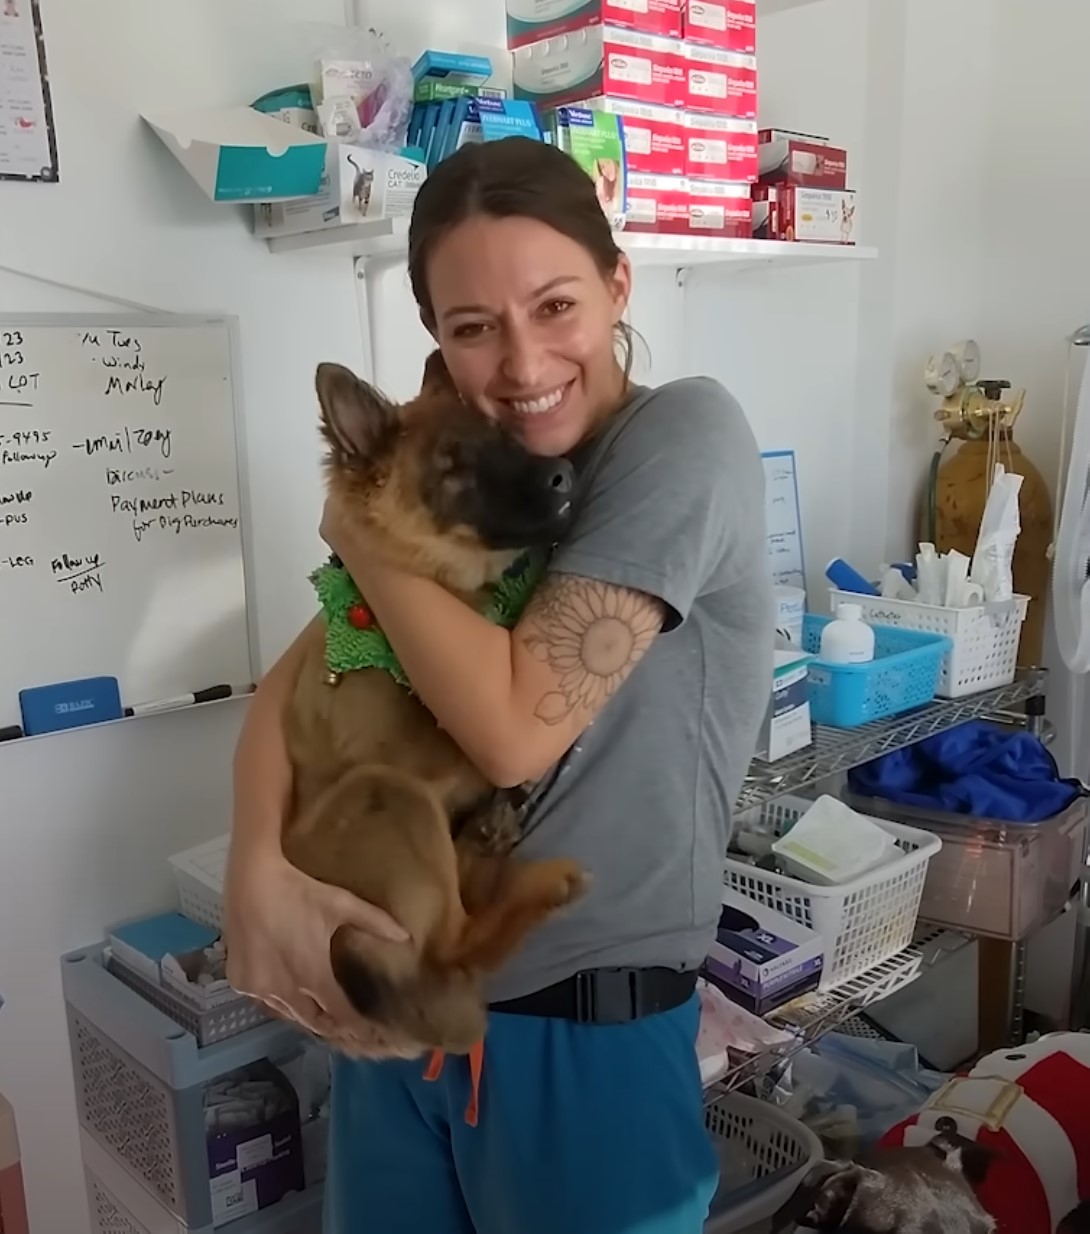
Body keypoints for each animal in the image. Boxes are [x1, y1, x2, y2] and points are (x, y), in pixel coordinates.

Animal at [278, 352, 587, 1056]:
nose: (563, 472)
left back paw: (490, 838)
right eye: (454, 466)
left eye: (505, 438)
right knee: (454, 948)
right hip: (387, 794)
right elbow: (459, 741)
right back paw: (535, 881)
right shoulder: (401, 753)